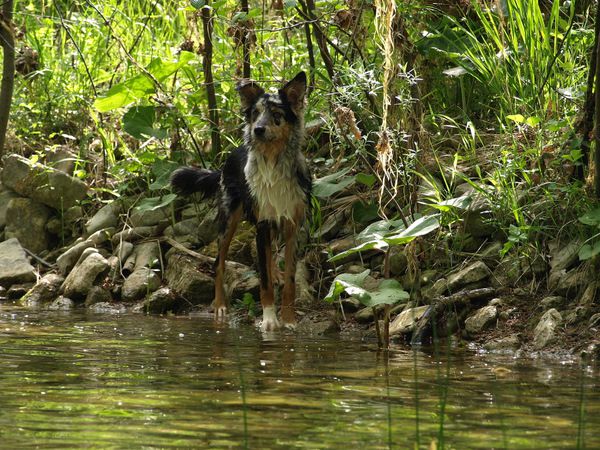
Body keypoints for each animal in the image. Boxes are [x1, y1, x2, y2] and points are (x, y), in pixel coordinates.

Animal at [169, 71, 310, 330]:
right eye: (255, 113)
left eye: (277, 114)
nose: (258, 130)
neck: (273, 164)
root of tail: (231, 154)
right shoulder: (263, 223)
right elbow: (264, 281)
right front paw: (269, 320)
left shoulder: (292, 226)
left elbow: (291, 279)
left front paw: (289, 318)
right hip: (229, 220)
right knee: (218, 263)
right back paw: (220, 306)